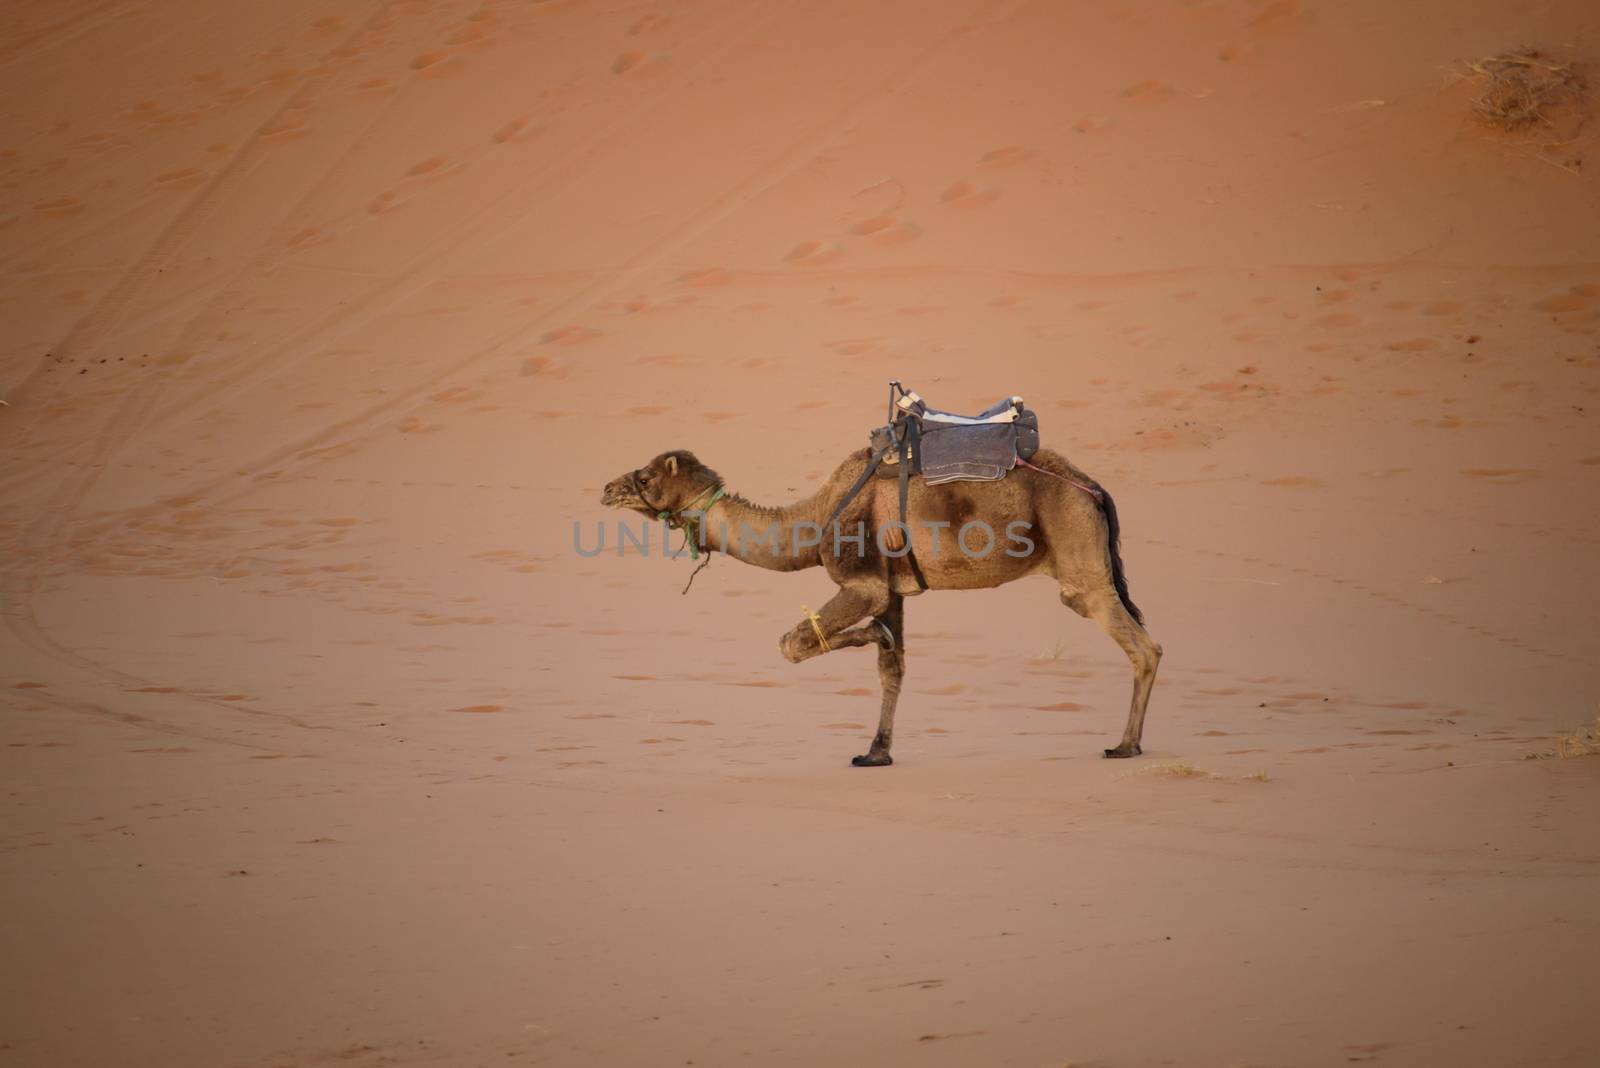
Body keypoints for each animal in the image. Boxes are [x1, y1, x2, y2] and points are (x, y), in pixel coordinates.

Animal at [601, 447, 1164, 764]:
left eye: (647, 479)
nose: (607, 488)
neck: (814, 520)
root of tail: (1093, 489)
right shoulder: (892, 589)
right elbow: (891, 668)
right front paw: (876, 752)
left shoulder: (864, 580)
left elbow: (792, 643)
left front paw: (872, 637)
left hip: (1077, 550)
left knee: (1140, 643)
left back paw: (1125, 745)